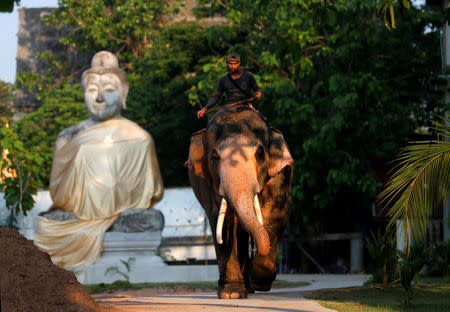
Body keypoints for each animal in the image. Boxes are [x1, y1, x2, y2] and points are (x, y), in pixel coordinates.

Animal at [185, 106, 294, 298]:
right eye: (215, 157)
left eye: (260, 154)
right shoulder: (209, 183)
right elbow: (222, 222)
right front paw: (232, 294)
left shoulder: (280, 176)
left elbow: (276, 215)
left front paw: (261, 282)